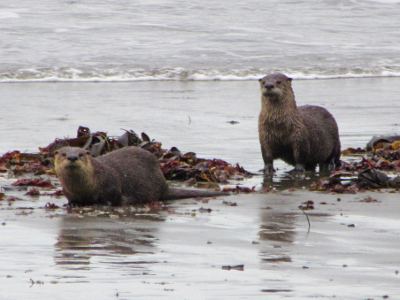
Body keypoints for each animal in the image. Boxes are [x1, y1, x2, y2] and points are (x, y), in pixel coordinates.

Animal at [54, 146, 228, 206]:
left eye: (81, 154)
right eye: (63, 154)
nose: (72, 157)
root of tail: (164, 185)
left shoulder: (111, 184)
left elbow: (113, 197)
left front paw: (102, 204)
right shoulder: (68, 191)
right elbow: (72, 200)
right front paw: (72, 204)